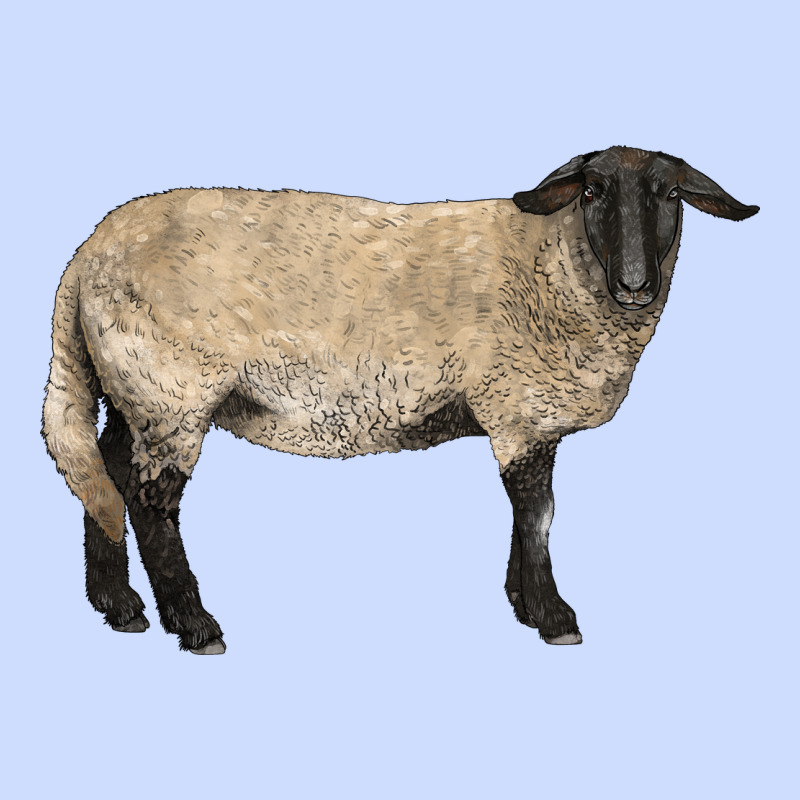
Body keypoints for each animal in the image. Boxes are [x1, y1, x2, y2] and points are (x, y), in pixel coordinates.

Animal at [42, 146, 759, 653]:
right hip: (172, 390)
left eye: (671, 193)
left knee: (102, 473)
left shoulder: (521, 417)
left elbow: (525, 512)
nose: (636, 285)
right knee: (150, 503)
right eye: (590, 190)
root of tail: (87, 256)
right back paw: (193, 624)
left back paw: (119, 607)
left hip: (127, 386)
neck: (558, 261)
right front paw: (554, 617)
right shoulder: (516, 407)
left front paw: (521, 603)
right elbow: (538, 513)